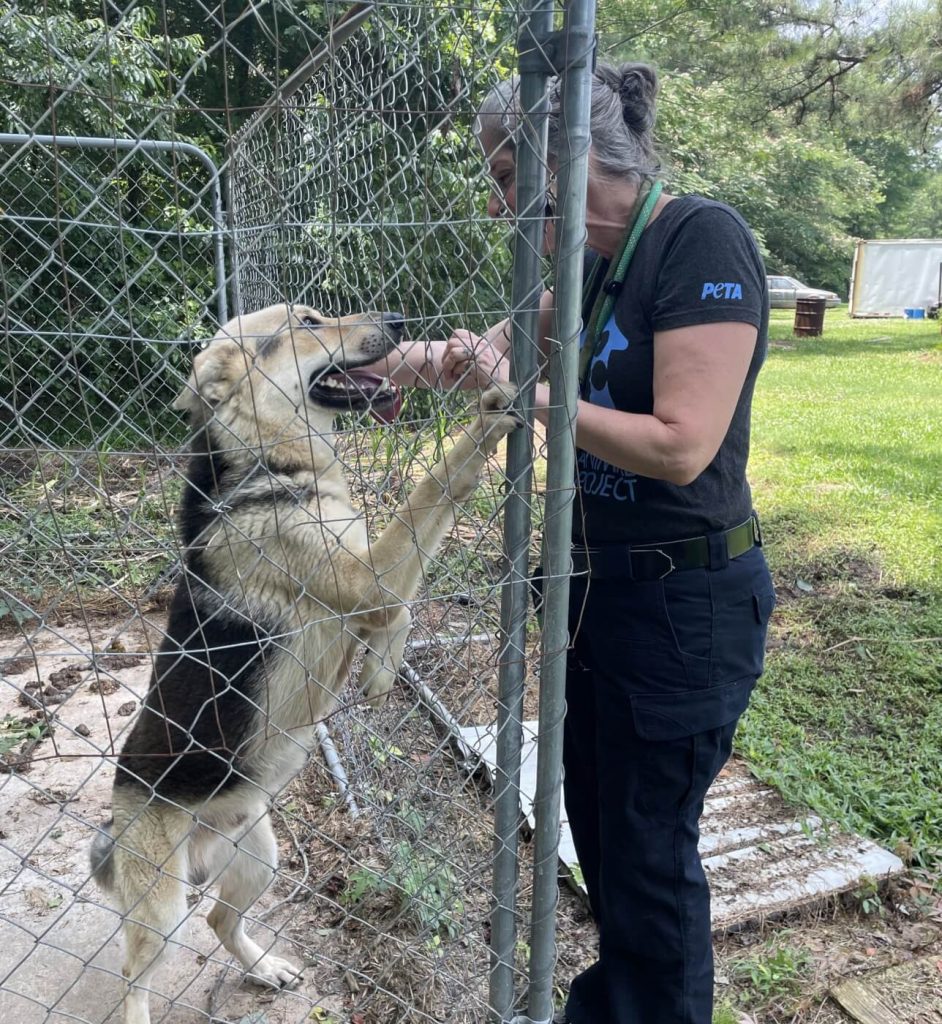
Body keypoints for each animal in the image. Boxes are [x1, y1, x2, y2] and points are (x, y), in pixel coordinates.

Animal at [91, 303, 518, 1024]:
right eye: (310, 321)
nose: (399, 319)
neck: (274, 460)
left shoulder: (369, 587)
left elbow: (409, 595)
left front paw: (379, 672)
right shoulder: (371, 581)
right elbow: (433, 492)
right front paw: (487, 417)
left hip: (259, 855)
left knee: (220, 920)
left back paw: (265, 969)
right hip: (162, 908)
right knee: (131, 973)